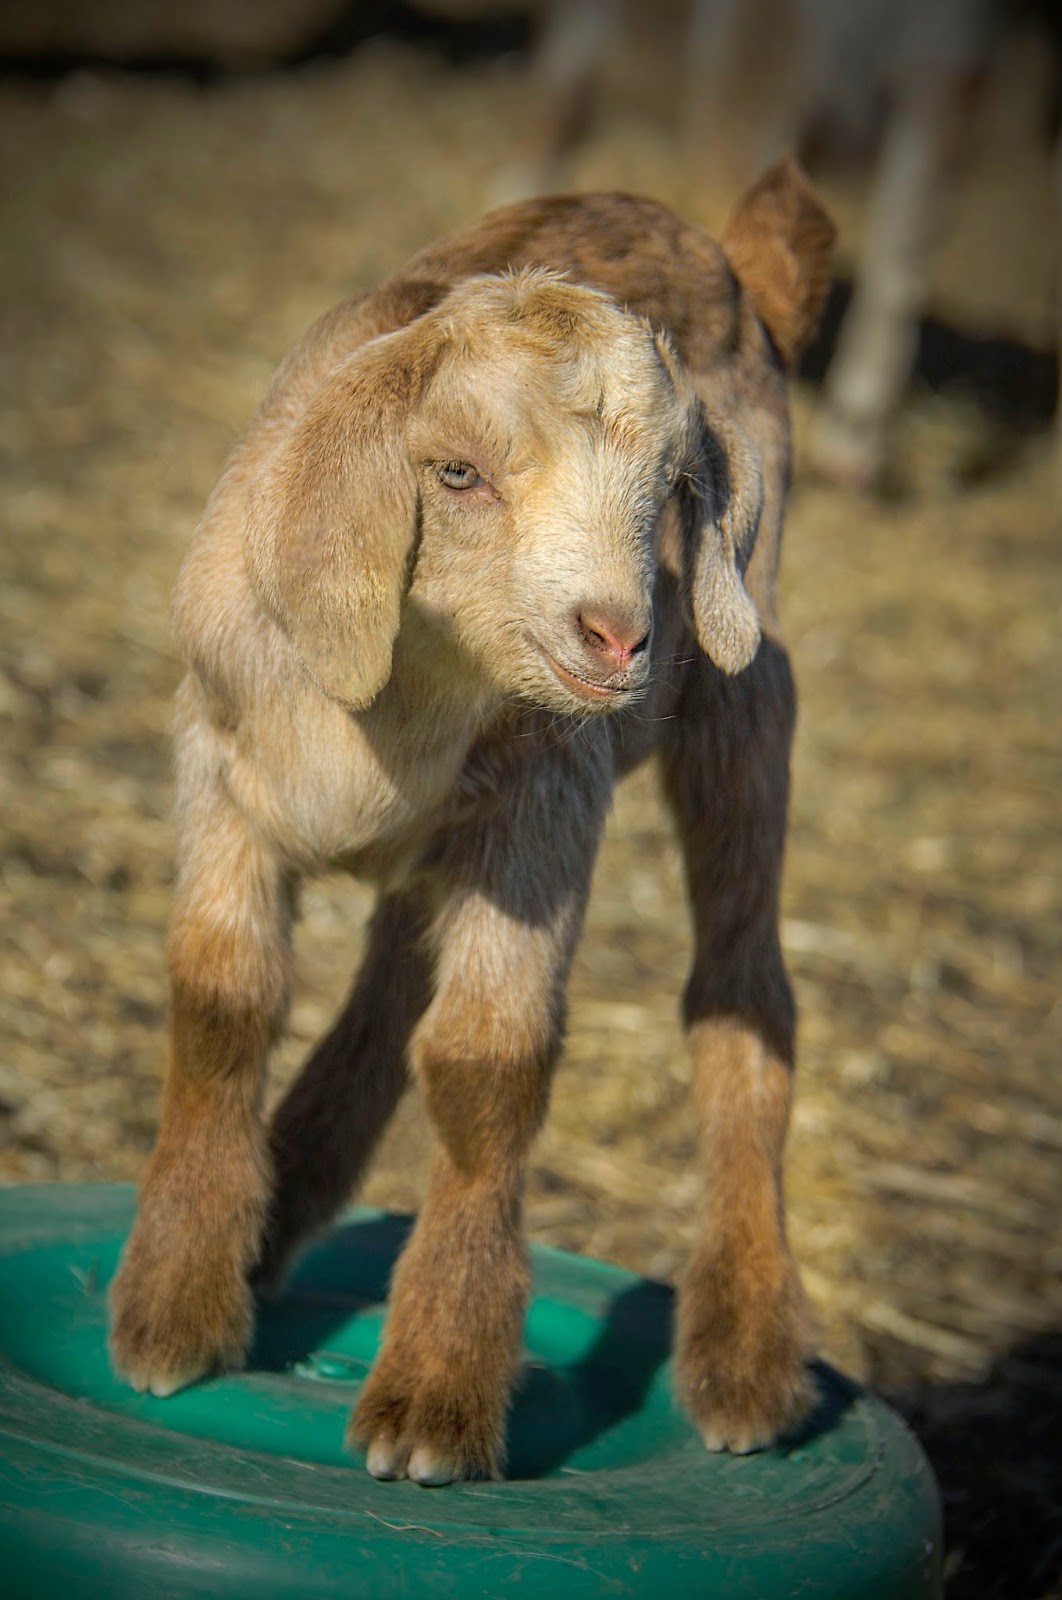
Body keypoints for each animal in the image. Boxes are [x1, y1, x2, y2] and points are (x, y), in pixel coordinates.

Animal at [108, 160, 836, 1485]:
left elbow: (485, 1064)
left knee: (743, 993)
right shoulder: (217, 763)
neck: (393, 720)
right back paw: (275, 1213)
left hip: (744, 698)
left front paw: (434, 1398)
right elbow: (222, 994)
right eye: (454, 473)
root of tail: (723, 250)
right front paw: (172, 1310)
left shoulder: (548, 810)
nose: (617, 637)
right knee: (391, 980)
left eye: (672, 493)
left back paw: (748, 1358)